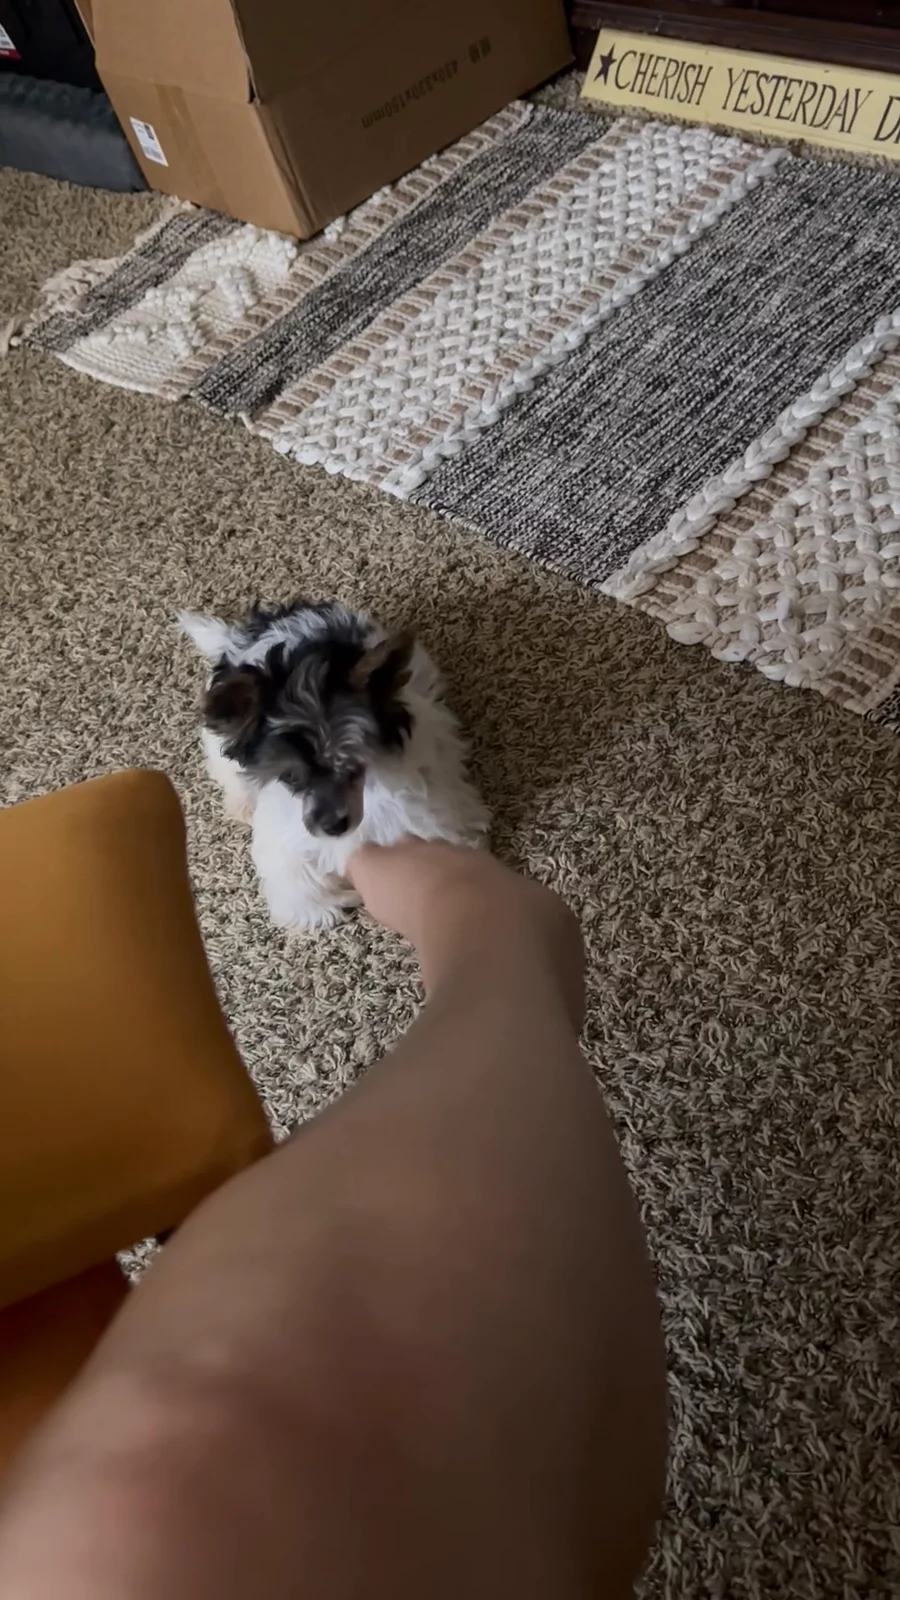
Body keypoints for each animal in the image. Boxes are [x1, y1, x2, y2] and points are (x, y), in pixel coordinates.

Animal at [179, 600, 489, 929]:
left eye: (353, 762)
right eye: (289, 776)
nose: (333, 826)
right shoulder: (287, 828)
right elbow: (290, 870)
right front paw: (320, 907)